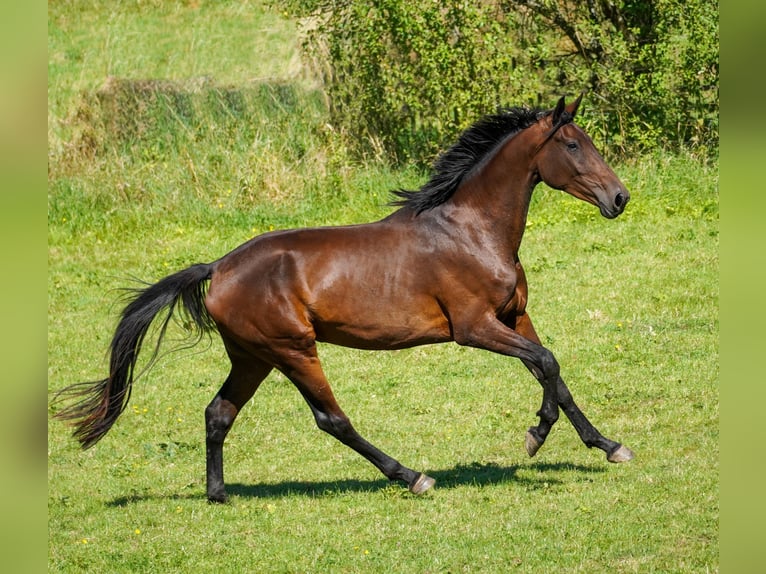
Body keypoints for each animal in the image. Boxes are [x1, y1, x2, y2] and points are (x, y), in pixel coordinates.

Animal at [54, 97, 636, 502]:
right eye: (573, 146)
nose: (620, 198)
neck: (471, 230)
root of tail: (217, 268)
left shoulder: (515, 316)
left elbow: (554, 373)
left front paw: (607, 446)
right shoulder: (473, 328)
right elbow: (547, 363)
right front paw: (536, 435)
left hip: (252, 357)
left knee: (218, 413)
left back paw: (218, 495)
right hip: (293, 351)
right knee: (331, 419)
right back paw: (412, 476)